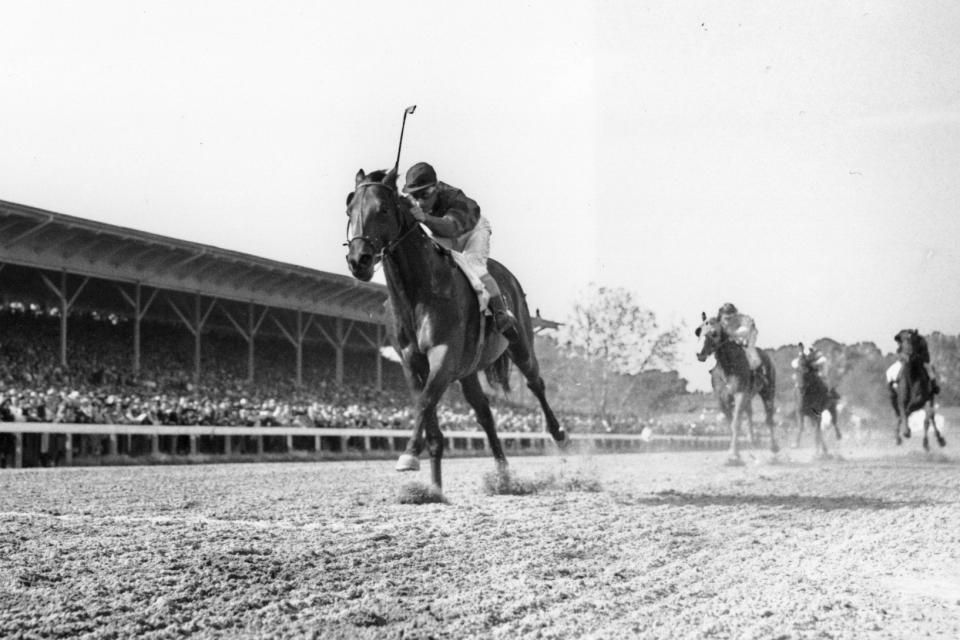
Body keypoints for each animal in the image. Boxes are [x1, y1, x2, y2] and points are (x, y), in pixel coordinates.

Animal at [344, 170, 568, 490]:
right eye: (349, 210)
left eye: (383, 209)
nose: (358, 260)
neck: (418, 292)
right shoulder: (411, 361)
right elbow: (426, 408)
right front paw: (433, 486)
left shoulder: (444, 355)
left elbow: (425, 401)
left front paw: (409, 455)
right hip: (468, 370)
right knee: (484, 412)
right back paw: (503, 473)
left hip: (521, 344)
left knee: (535, 383)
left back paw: (558, 435)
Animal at [692, 312, 776, 462]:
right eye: (698, 331)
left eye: (714, 333)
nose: (699, 353)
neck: (728, 367)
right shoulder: (722, 399)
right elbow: (731, 423)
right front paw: (736, 451)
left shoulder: (740, 394)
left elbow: (736, 423)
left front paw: (734, 455)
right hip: (749, 396)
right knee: (749, 413)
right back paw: (752, 441)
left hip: (768, 391)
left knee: (769, 416)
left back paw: (773, 449)